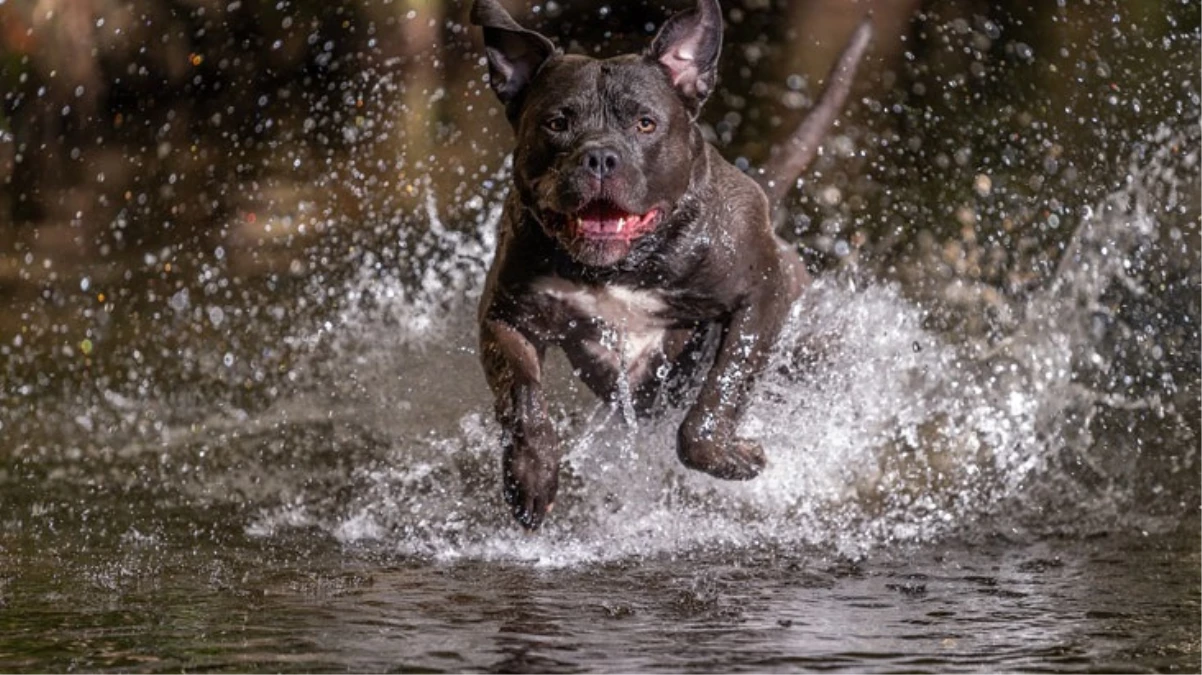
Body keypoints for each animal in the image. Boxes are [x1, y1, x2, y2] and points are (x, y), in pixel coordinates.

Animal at [471, 0, 875, 526]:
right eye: (557, 123)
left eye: (645, 123)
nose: (599, 157)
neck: (621, 268)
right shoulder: (507, 316)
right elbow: (522, 399)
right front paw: (531, 475)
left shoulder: (761, 295)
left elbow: (720, 393)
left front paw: (734, 456)